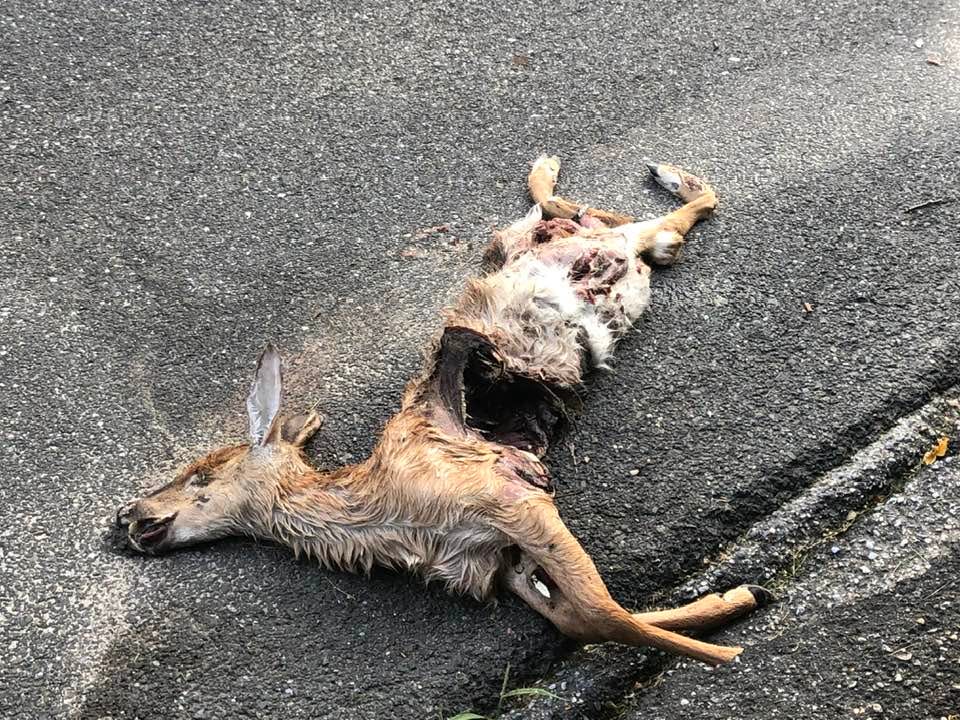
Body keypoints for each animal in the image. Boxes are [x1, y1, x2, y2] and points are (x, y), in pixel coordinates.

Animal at [115, 156, 770, 666]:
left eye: (201, 473)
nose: (128, 515)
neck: (378, 515)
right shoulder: (499, 560)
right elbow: (577, 617)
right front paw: (725, 607)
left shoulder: (507, 494)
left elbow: (601, 612)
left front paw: (733, 637)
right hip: (541, 245)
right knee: (628, 227)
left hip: (565, 247)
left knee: (642, 219)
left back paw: (633, 173)